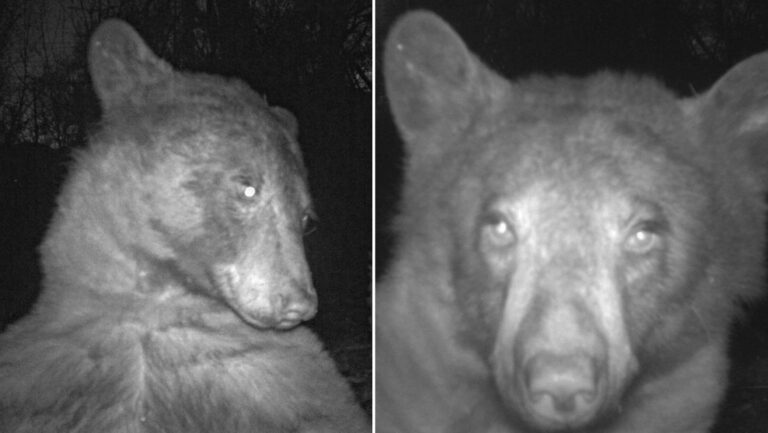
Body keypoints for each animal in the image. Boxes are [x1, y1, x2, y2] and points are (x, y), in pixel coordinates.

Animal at [0, 20, 370, 433]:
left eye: (306, 218)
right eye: (248, 187)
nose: (300, 303)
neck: (158, 303)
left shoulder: (284, 380)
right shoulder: (45, 368)